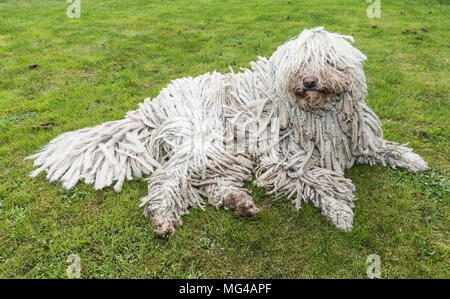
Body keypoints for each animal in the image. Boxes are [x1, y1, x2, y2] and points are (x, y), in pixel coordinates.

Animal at [26, 28, 428, 239]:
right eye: (300, 64)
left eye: (328, 61)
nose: (309, 81)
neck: (318, 114)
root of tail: (152, 108)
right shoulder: (283, 159)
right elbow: (317, 179)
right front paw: (340, 210)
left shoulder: (354, 139)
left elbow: (381, 148)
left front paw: (411, 158)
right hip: (204, 141)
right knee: (170, 178)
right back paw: (163, 218)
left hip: (228, 150)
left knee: (207, 182)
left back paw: (238, 203)